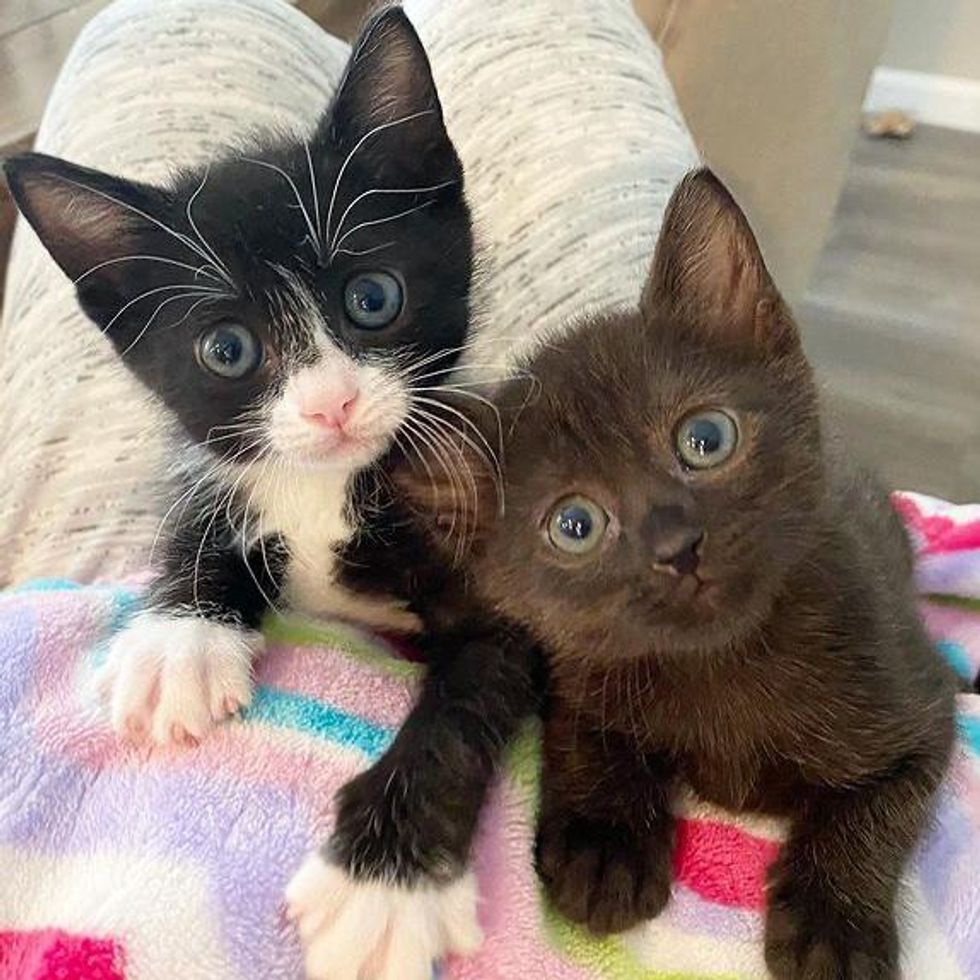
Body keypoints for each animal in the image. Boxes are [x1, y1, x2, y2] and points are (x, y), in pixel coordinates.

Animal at [3, 5, 470, 752]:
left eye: (373, 298)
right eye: (227, 349)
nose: (330, 405)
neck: (322, 490)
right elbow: (197, 514)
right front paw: (178, 642)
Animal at [388, 172, 956, 976]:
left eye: (706, 438)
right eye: (575, 524)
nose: (677, 545)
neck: (723, 667)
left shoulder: (922, 712)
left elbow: (869, 812)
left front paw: (834, 924)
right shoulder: (576, 672)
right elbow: (589, 739)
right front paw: (605, 844)